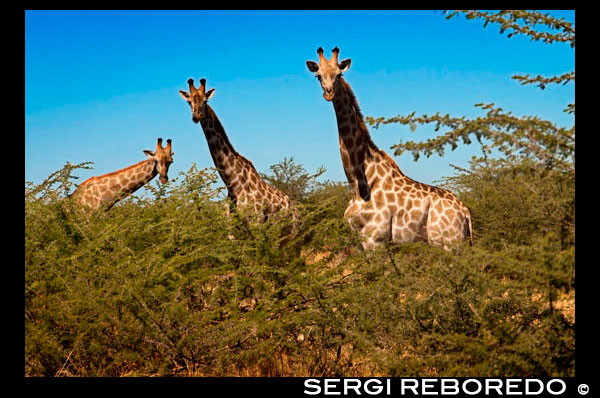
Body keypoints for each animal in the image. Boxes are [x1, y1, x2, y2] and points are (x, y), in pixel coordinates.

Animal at [177, 78, 292, 219]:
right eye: (189, 102)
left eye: (205, 101)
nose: (196, 116)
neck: (232, 183)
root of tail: (289, 200)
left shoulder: (256, 220)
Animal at [304, 48, 474, 250]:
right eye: (318, 76)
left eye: (339, 75)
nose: (329, 93)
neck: (357, 184)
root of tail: (465, 211)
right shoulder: (358, 241)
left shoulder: (375, 240)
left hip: (449, 244)